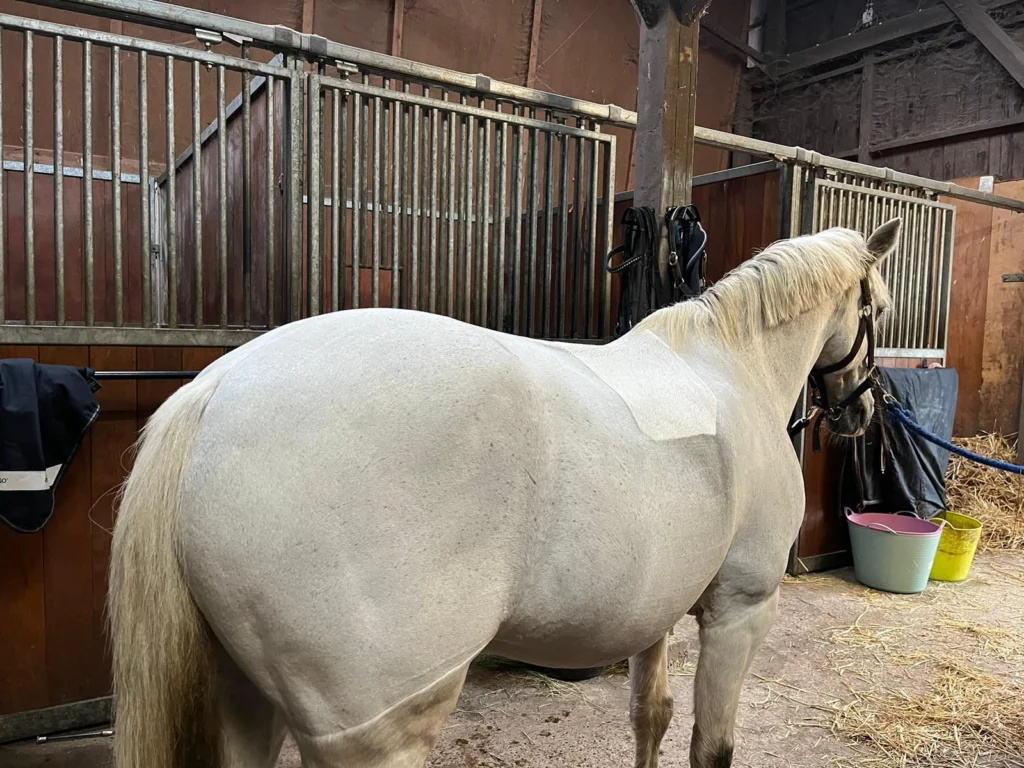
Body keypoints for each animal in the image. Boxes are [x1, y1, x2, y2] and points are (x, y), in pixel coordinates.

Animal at [108, 218, 900, 768]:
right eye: (880, 311)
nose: (865, 409)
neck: (733, 368)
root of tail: (213, 394)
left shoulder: (657, 611)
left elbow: (652, 716)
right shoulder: (740, 610)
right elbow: (712, 746)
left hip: (243, 700)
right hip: (376, 732)